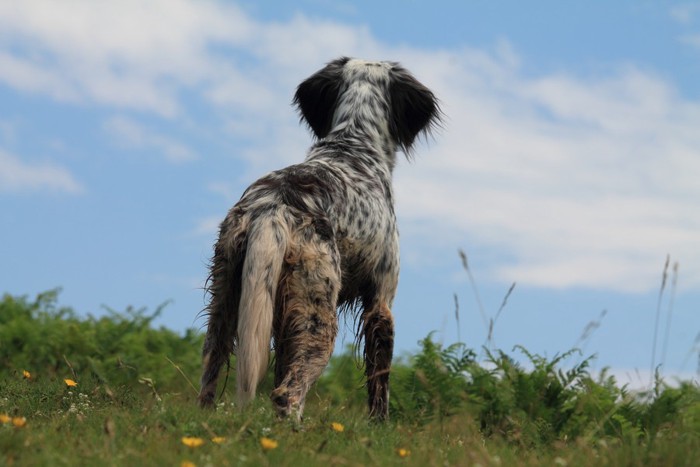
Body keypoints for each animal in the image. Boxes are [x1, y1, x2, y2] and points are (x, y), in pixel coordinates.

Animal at [198, 57, 438, 420]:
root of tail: (272, 207)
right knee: (288, 394)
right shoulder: (381, 303)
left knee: (210, 378)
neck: (354, 142)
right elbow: (379, 388)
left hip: (227, 302)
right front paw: (380, 428)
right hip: (319, 317)